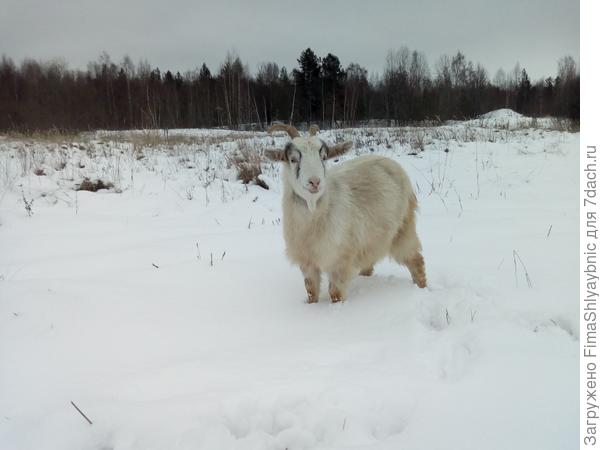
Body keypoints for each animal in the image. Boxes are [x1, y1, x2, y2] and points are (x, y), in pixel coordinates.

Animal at [264, 123, 424, 302]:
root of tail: (391, 162)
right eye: (293, 159)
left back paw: (421, 288)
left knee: (415, 260)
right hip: (371, 239)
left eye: (323, 157)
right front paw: (310, 306)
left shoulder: (340, 260)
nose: (315, 182)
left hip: (403, 227)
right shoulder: (307, 262)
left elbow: (335, 293)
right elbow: (311, 290)